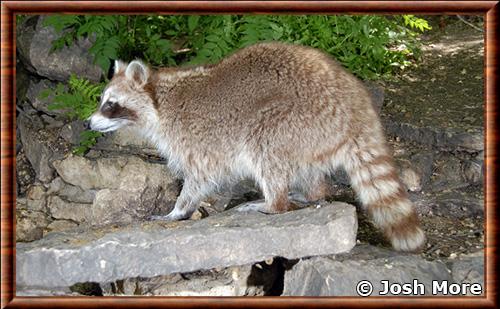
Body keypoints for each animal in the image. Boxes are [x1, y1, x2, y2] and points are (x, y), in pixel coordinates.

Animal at [90, 42, 426, 251]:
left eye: (111, 105)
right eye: (102, 101)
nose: (89, 123)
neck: (159, 98)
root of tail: (357, 108)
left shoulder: (194, 136)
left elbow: (199, 177)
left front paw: (178, 209)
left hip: (300, 118)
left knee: (265, 144)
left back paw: (273, 203)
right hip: (316, 134)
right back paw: (310, 193)